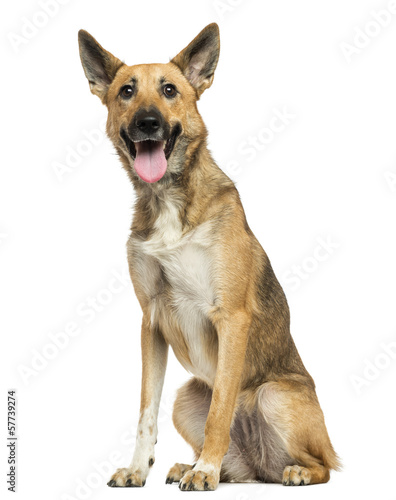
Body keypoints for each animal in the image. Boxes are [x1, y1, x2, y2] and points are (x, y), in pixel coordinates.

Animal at [78, 22, 340, 488]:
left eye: (169, 89)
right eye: (126, 91)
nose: (148, 123)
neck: (168, 200)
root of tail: (261, 466)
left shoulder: (231, 317)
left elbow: (220, 411)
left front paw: (205, 473)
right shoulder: (151, 322)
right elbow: (145, 410)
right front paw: (138, 468)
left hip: (274, 394)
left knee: (323, 464)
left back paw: (281, 470)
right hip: (186, 396)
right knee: (236, 464)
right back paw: (197, 463)